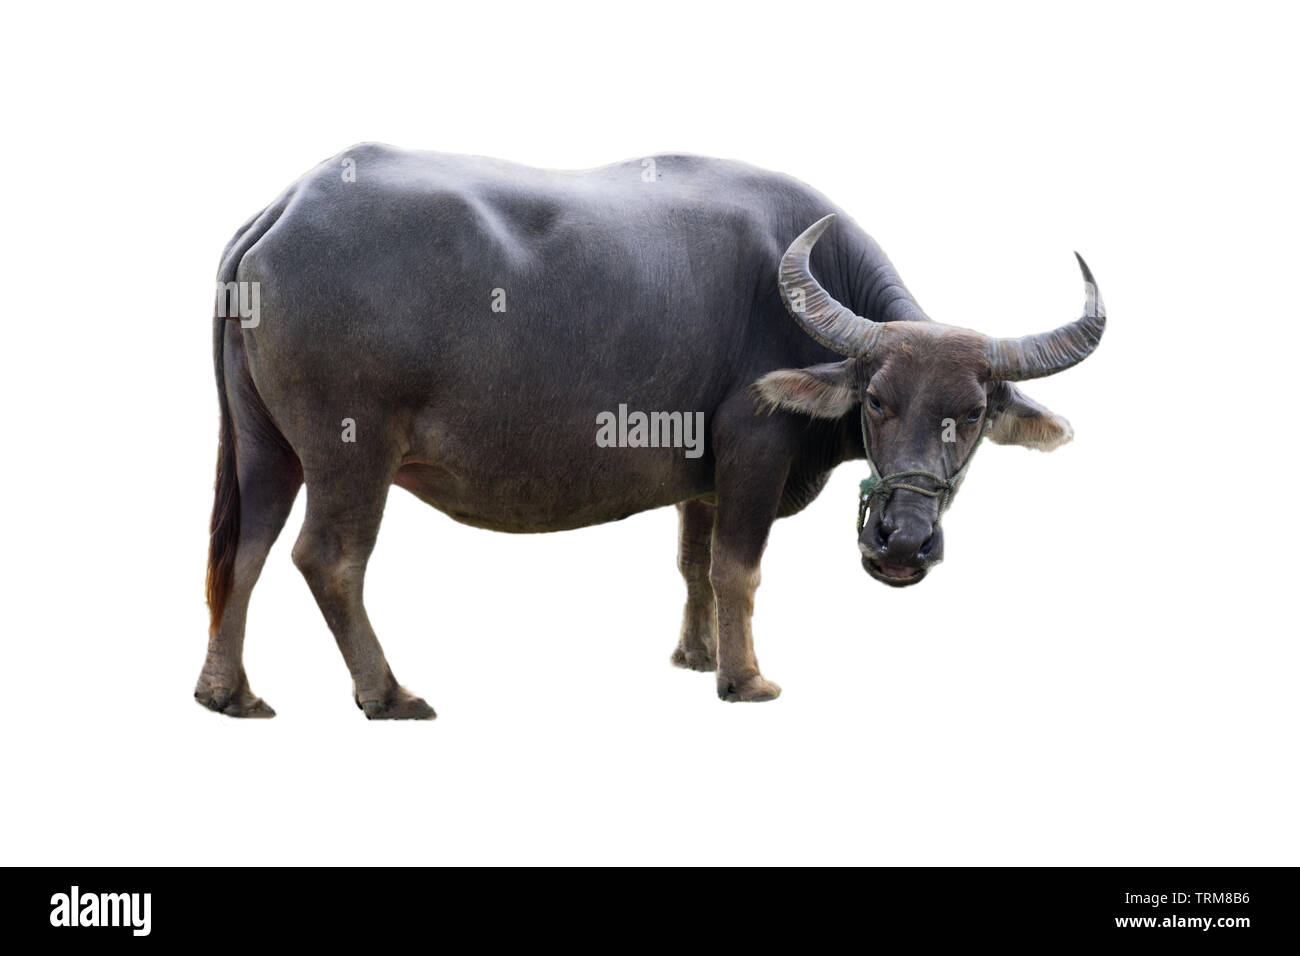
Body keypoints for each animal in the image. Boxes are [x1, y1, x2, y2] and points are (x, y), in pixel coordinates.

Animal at [197, 143, 1102, 717]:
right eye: (876, 400)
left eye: (972, 415)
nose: (902, 543)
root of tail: (281, 210)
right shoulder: (753, 450)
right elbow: (739, 569)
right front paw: (745, 679)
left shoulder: (701, 478)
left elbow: (694, 564)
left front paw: (698, 656)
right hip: (351, 448)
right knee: (328, 559)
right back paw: (388, 694)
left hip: (265, 446)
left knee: (246, 549)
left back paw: (229, 693)